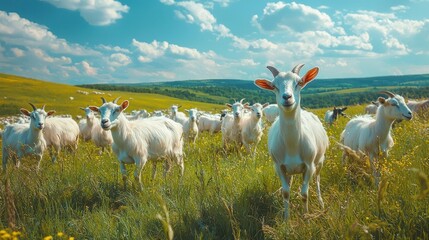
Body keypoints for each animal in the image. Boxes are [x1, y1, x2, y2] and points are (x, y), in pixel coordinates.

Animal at [254, 64, 328, 219]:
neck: (292, 145)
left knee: (317, 180)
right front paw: (286, 219)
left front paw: (306, 216)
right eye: (274, 86)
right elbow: (285, 192)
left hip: (320, 161)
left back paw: (321, 202)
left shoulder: (309, 166)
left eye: (299, 82)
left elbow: (304, 194)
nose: (287, 97)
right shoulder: (279, 167)